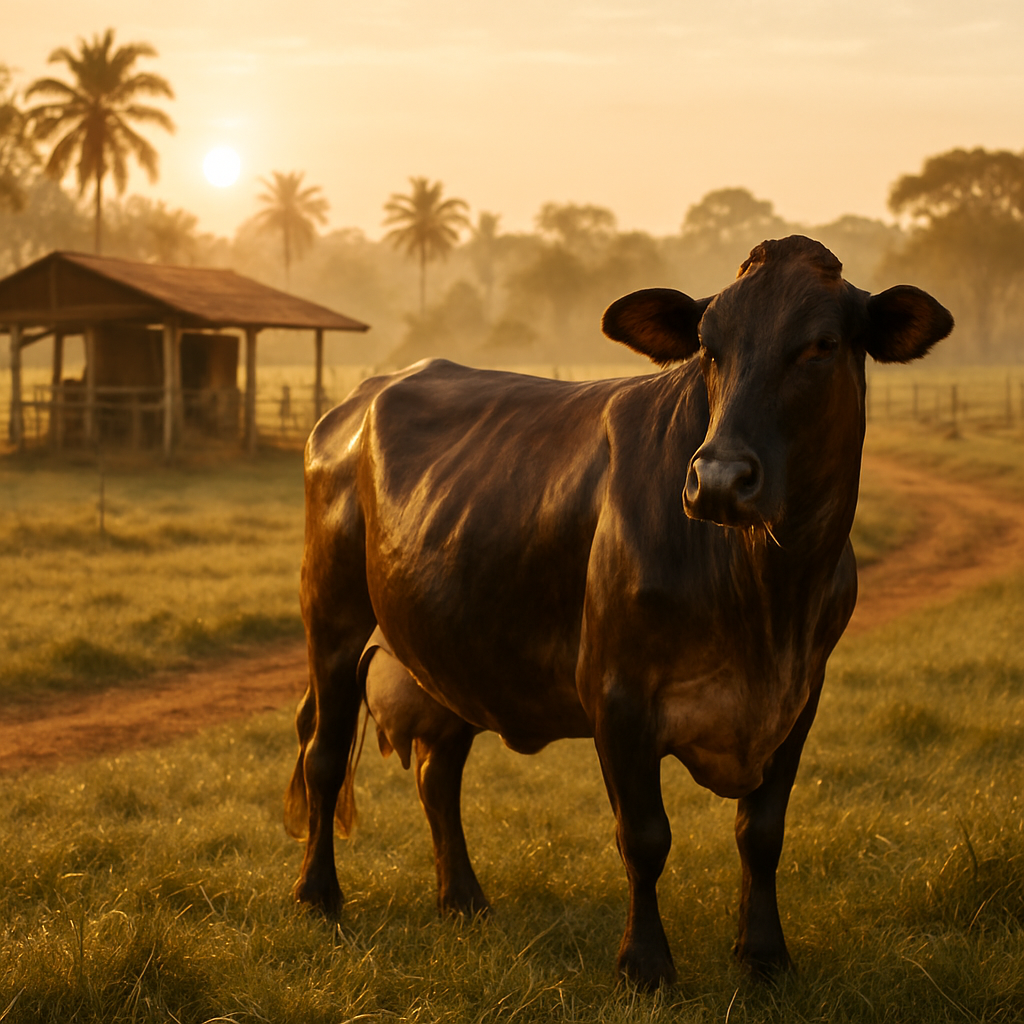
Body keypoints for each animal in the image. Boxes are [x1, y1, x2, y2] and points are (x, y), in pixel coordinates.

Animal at [284, 235, 952, 987]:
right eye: (709, 346)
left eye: (822, 345)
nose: (719, 479)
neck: (768, 596)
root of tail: (358, 400)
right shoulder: (616, 692)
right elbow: (644, 836)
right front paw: (645, 963)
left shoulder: (801, 695)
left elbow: (762, 832)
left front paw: (763, 953)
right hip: (331, 616)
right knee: (323, 752)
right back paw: (318, 893)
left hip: (450, 650)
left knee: (438, 772)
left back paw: (463, 898)